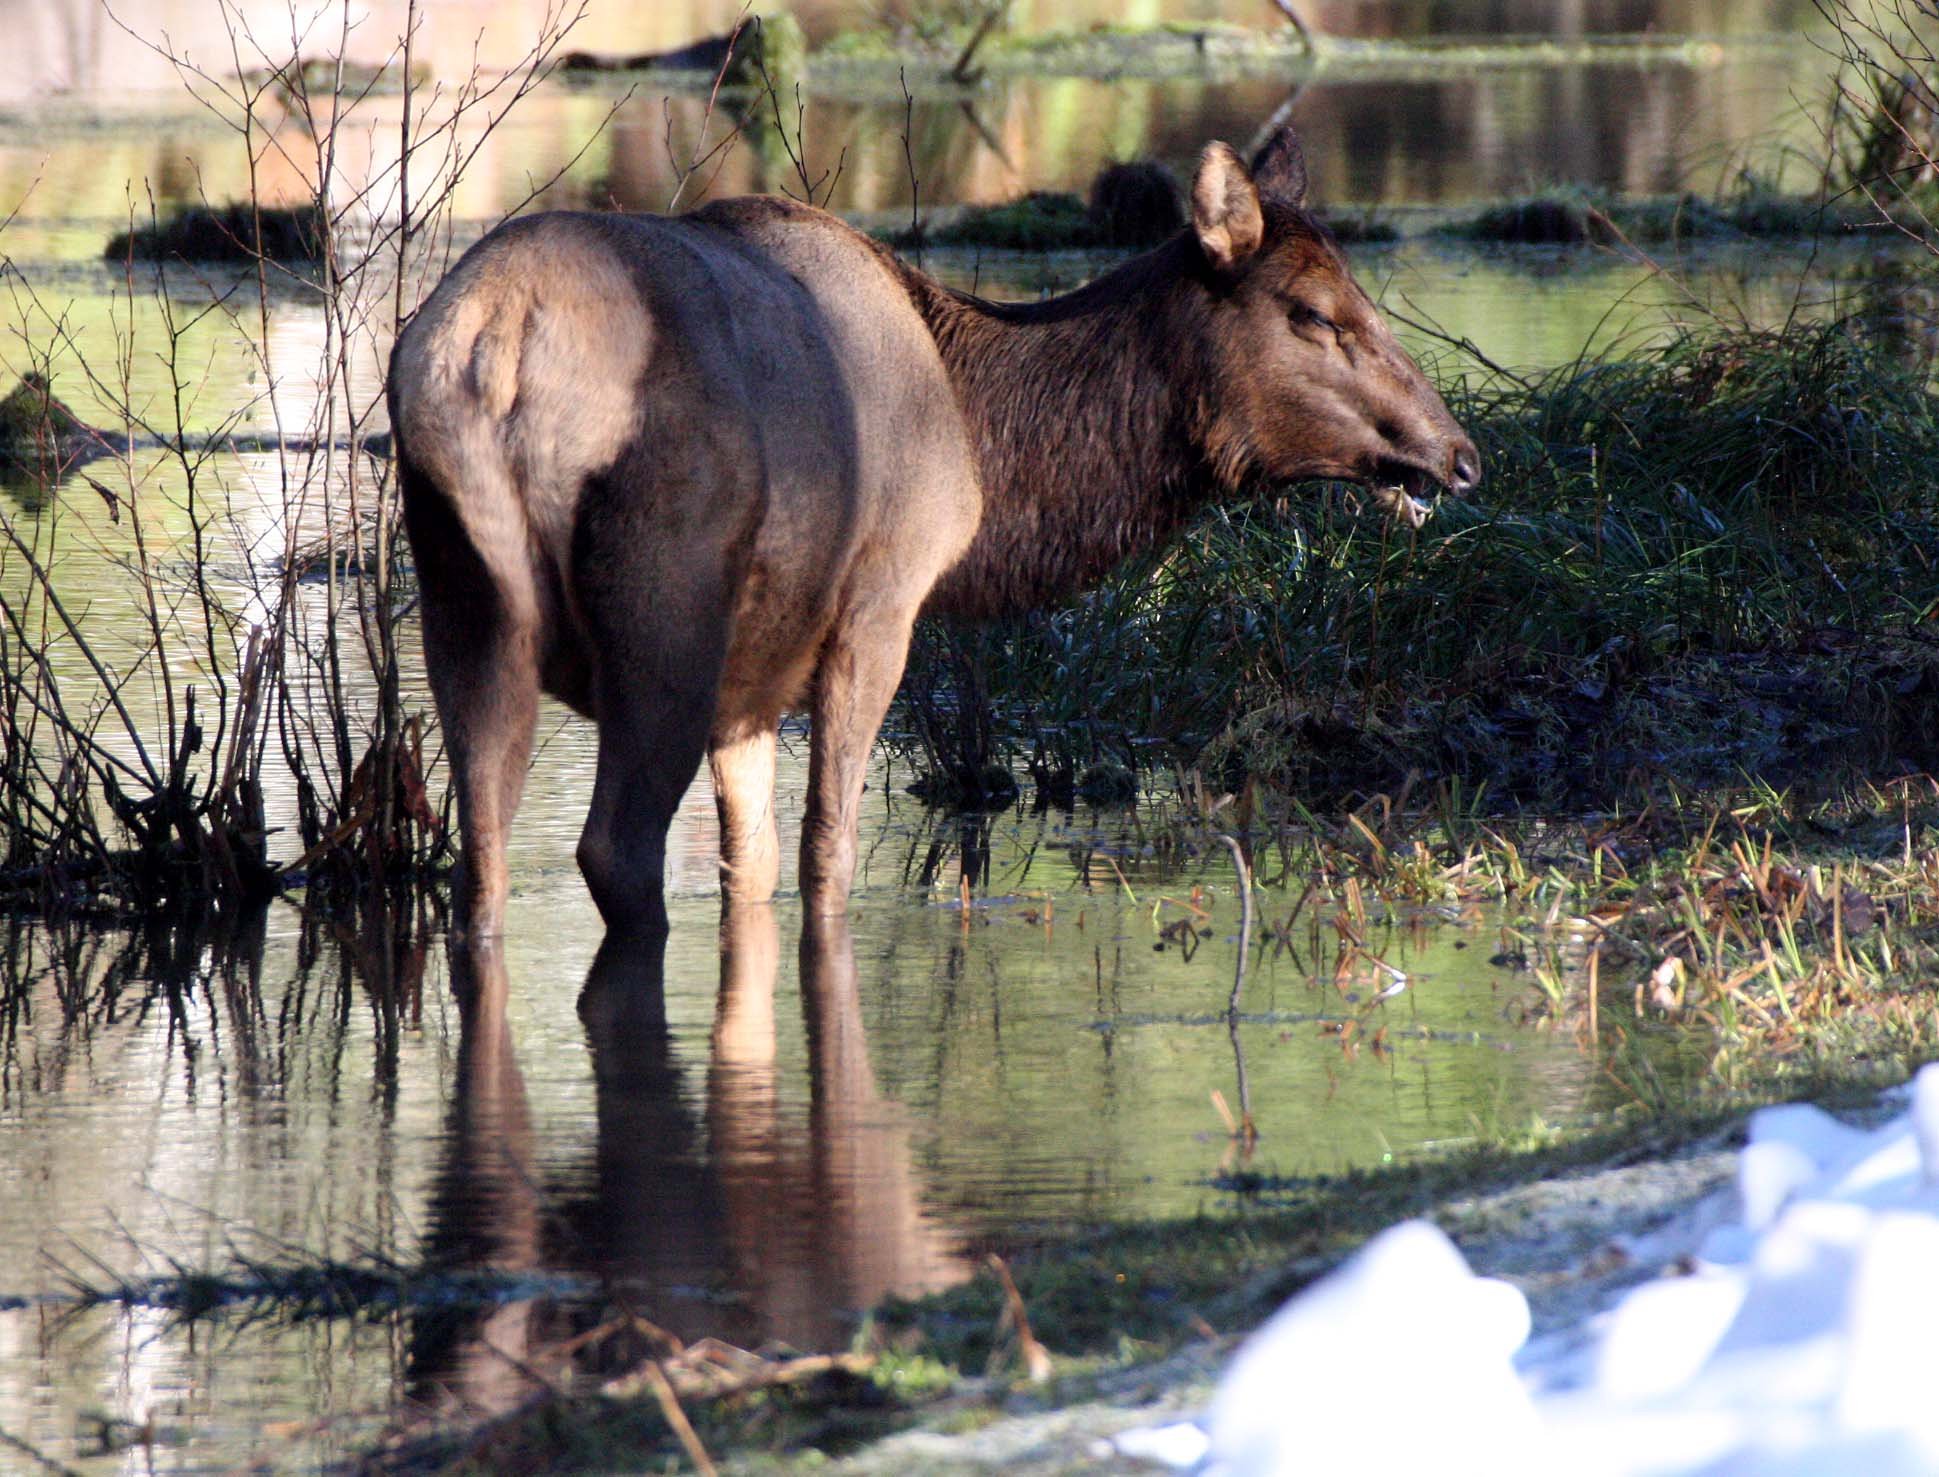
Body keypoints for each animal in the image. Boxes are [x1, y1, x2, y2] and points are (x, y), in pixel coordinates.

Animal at [387, 124, 1480, 945]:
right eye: (1313, 312)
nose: (1459, 454)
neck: (986, 456)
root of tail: (490, 341)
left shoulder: (753, 684)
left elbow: (751, 863)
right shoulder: (881, 599)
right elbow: (823, 851)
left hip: (460, 592)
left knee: (480, 851)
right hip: (666, 598)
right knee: (613, 847)